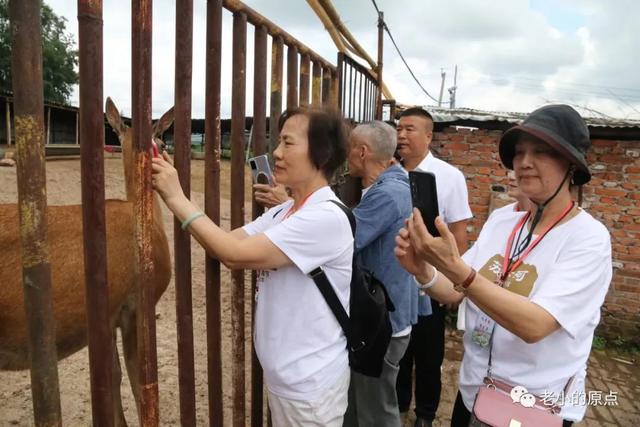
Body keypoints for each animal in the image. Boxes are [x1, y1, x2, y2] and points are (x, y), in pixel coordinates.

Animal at [0, 98, 172, 426]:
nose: (166, 150)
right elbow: (137, 380)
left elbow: (112, 377)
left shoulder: (108, 316)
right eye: (160, 139)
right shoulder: (134, 305)